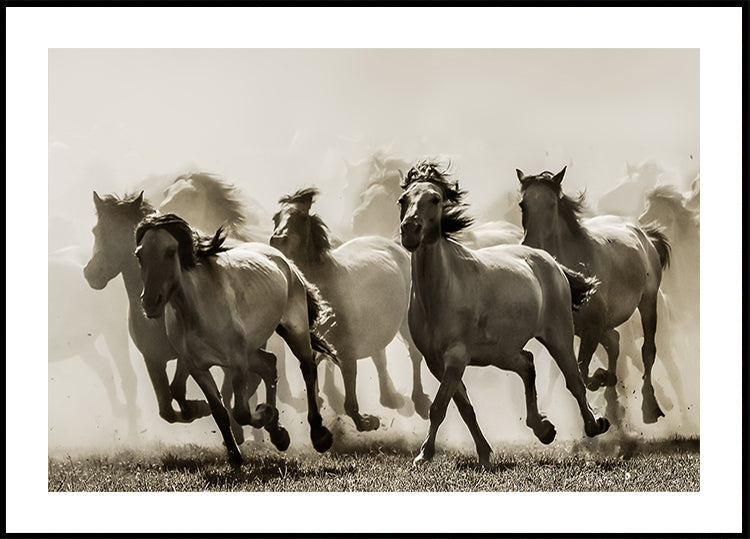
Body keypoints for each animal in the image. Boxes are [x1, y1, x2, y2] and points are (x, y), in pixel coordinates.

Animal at [135, 214, 336, 464]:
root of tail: (284, 261)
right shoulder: (197, 367)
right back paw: (278, 435)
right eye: (139, 254)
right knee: (269, 364)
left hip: (294, 330)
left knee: (307, 368)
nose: (150, 302)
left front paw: (265, 414)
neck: (196, 310)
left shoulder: (237, 361)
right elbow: (219, 411)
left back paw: (319, 435)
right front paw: (235, 455)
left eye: (171, 251)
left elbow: (240, 411)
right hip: (252, 349)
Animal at [270, 188, 431, 430]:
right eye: (276, 218)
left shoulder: (347, 348)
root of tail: (395, 246)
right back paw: (390, 398)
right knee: (379, 356)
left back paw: (419, 401)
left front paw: (365, 421)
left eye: (299, 218)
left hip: (404, 320)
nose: (277, 240)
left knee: (413, 354)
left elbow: (349, 390)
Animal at [398, 162, 609, 468]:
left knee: (574, 380)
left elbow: (439, 407)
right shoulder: (436, 362)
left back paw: (594, 425)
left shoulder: (456, 357)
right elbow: (464, 408)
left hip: (558, 336)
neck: (441, 291)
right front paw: (484, 454)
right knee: (528, 364)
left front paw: (424, 455)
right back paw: (543, 429)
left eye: (435, 199)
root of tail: (550, 260)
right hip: (501, 352)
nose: (410, 231)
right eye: (403, 200)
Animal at [517, 167, 671, 425]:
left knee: (647, 351)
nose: (531, 245)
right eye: (522, 204)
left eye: (552, 204)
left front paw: (600, 381)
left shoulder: (592, 328)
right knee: (615, 342)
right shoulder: (574, 331)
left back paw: (649, 407)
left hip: (648, 303)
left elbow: (582, 371)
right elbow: (582, 370)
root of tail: (643, 234)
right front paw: (604, 382)